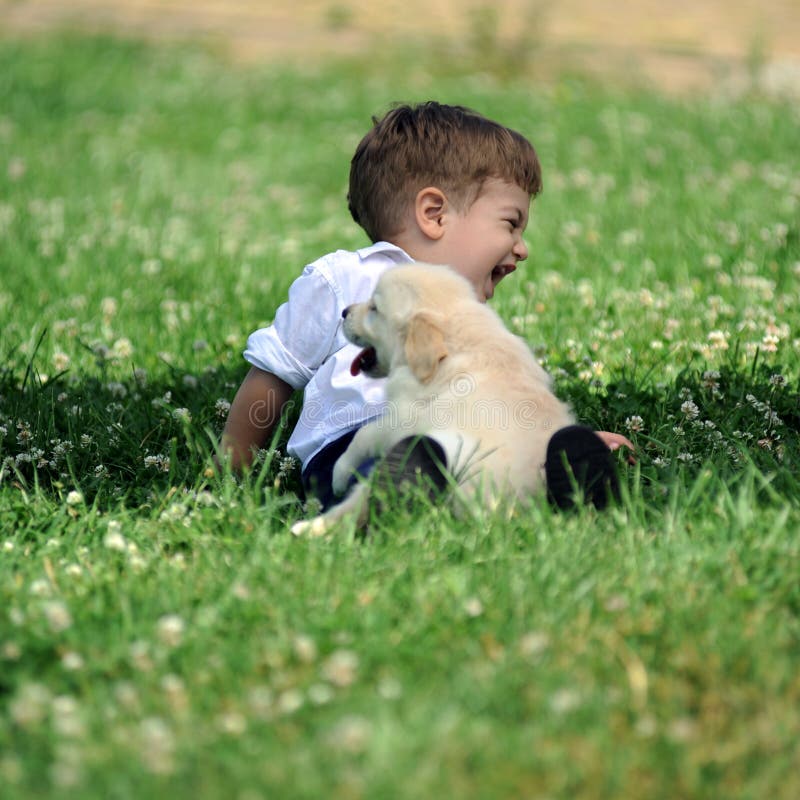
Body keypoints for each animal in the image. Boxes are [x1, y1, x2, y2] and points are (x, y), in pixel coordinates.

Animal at [292, 264, 576, 536]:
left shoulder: (405, 416)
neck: (454, 345)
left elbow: (364, 434)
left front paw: (340, 473)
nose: (344, 311)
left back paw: (310, 528)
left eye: (374, 308)